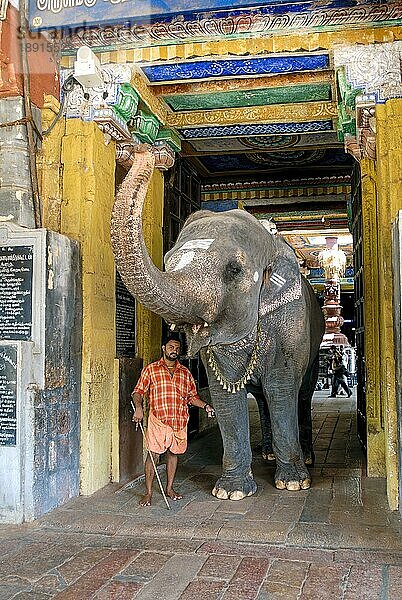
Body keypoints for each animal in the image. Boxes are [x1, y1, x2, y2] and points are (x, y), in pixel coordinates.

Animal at [111, 150, 326, 496]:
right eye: (168, 261)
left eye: (234, 269)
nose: (151, 153)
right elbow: (225, 394)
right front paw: (231, 492)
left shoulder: (291, 321)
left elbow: (281, 386)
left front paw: (293, 484)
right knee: (262, 400)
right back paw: (267, 454)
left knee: (301, 394)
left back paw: (304, 459)